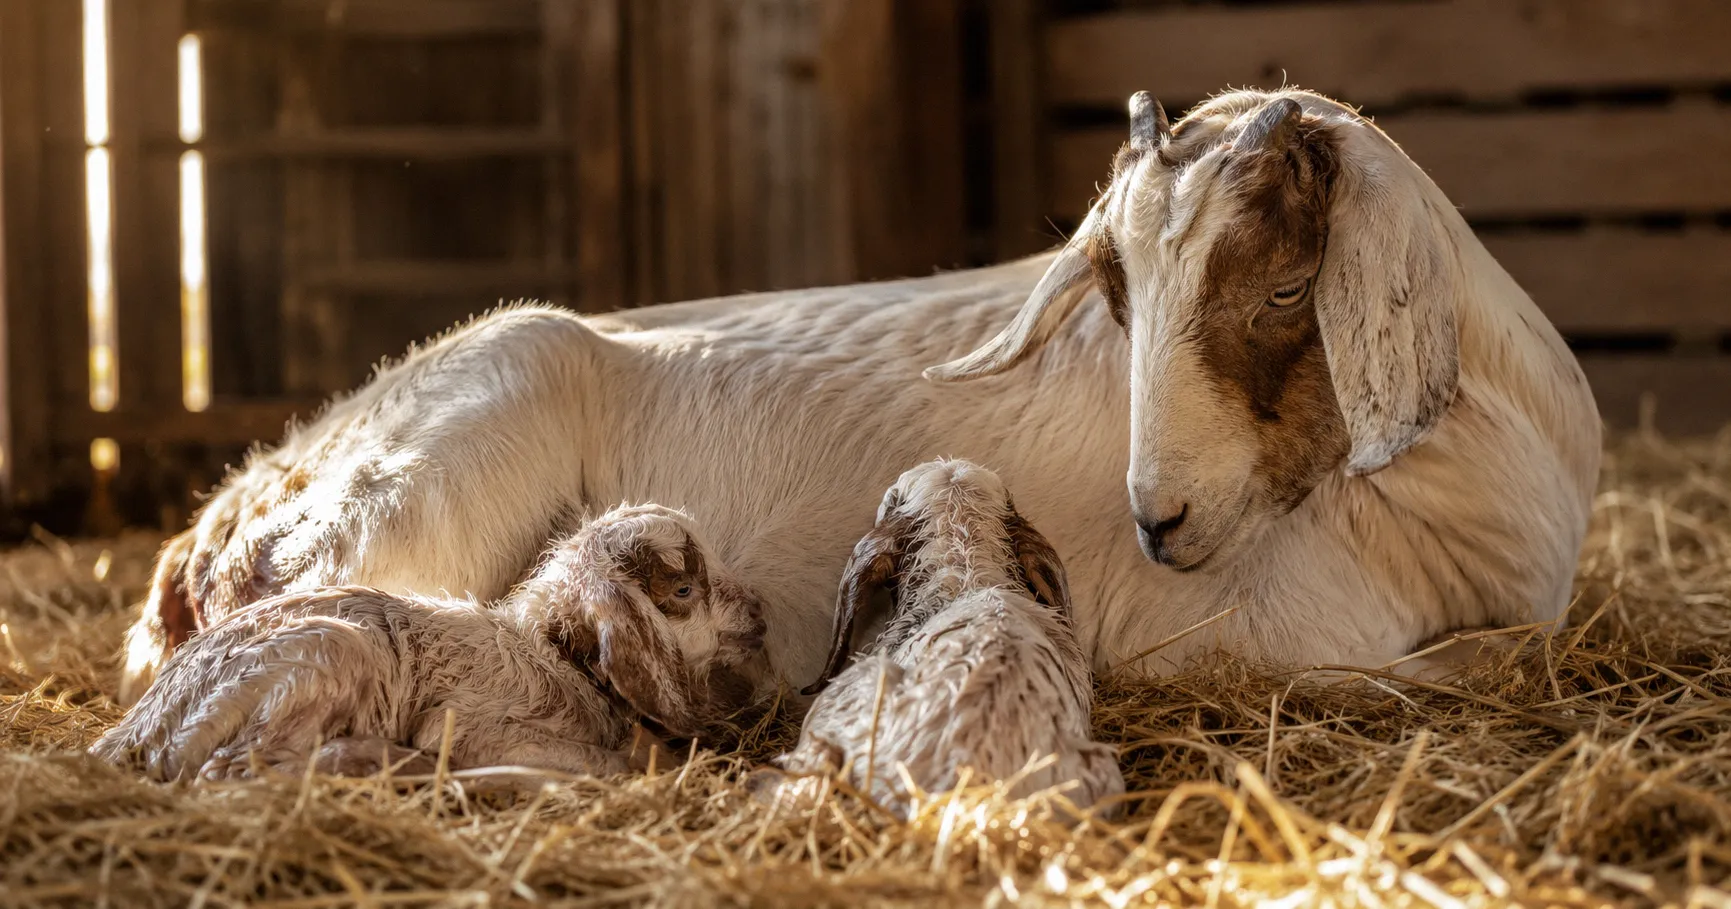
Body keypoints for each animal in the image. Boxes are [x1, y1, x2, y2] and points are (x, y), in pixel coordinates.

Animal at [95, 505, 766, 782]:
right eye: (684, 589)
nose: (761, 612)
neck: (557, 659)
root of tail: (140, 729)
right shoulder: (475, 726)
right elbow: (617, 765)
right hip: (330, 652)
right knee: (233, 770)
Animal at [120, 87, 1598, 705]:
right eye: (1119, 296)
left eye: (1290, 289)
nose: (1155, 521)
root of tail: (217, 522)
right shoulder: (1253, 638)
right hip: (454, 445)